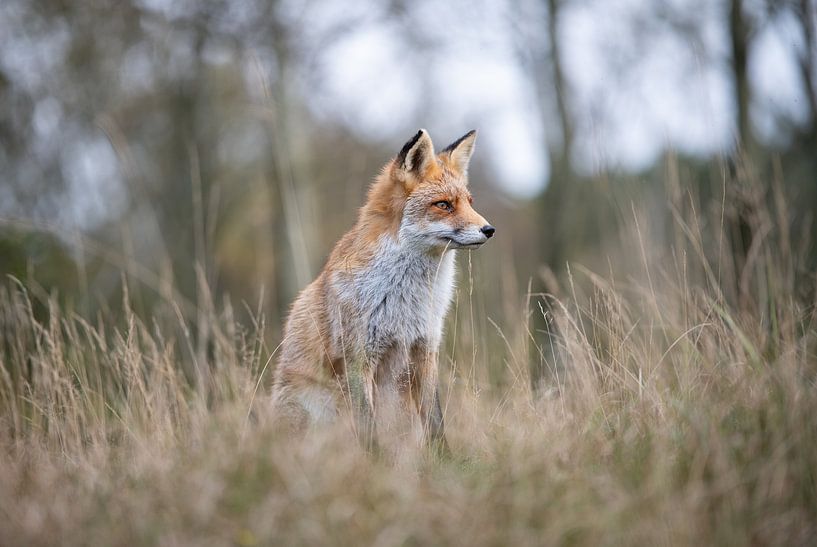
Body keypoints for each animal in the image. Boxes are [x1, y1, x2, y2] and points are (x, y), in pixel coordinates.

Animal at [270, 128, 494, 453]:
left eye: (469, 201)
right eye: (443, 205)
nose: (489, 230)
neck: (406, 297)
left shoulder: (425, 349)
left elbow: (435, 419)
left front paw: (443, 457)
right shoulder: (358, 357)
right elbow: (367, 426)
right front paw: (373, 461)